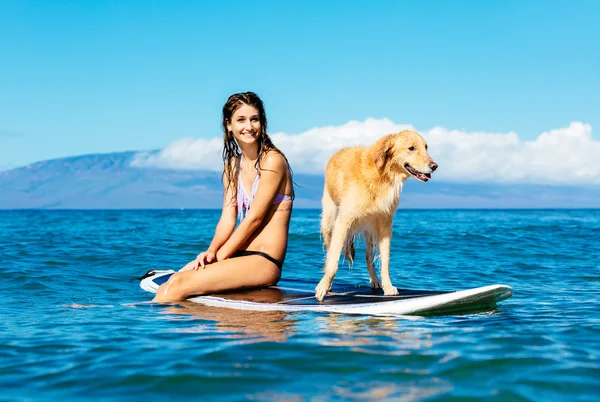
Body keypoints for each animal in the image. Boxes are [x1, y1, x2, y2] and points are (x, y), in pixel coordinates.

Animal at [314, 130, 436, 300]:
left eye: (426, 147)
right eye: (411, 148)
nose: (434, 166)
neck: (381, 175)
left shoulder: (385, 225)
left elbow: (385, 261)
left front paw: (388, 286)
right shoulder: (343, 222)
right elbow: (332, 262)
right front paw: (323, 287)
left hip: (370, 231)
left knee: (368, 256)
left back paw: (375, 280)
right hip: (329, 223)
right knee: (329, 252)